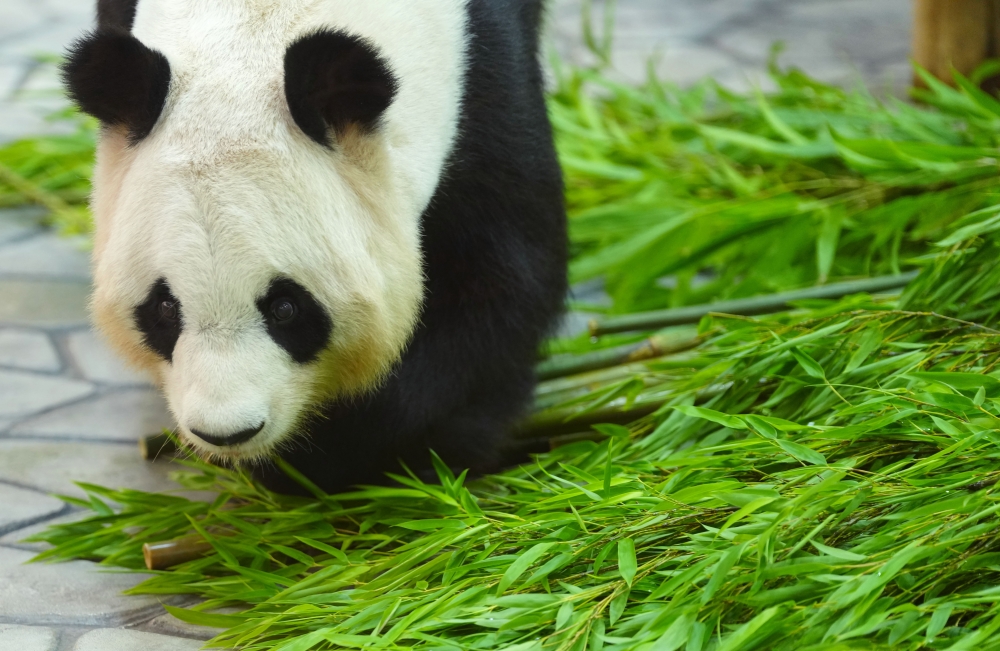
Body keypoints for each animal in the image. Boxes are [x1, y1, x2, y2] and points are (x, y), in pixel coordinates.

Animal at [62, 0, 567, 493]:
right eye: (165, 308)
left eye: (285, 308)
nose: (227, 433)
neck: (255, 23)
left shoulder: (482, 73)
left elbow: (498, 286)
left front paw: (344, 450)